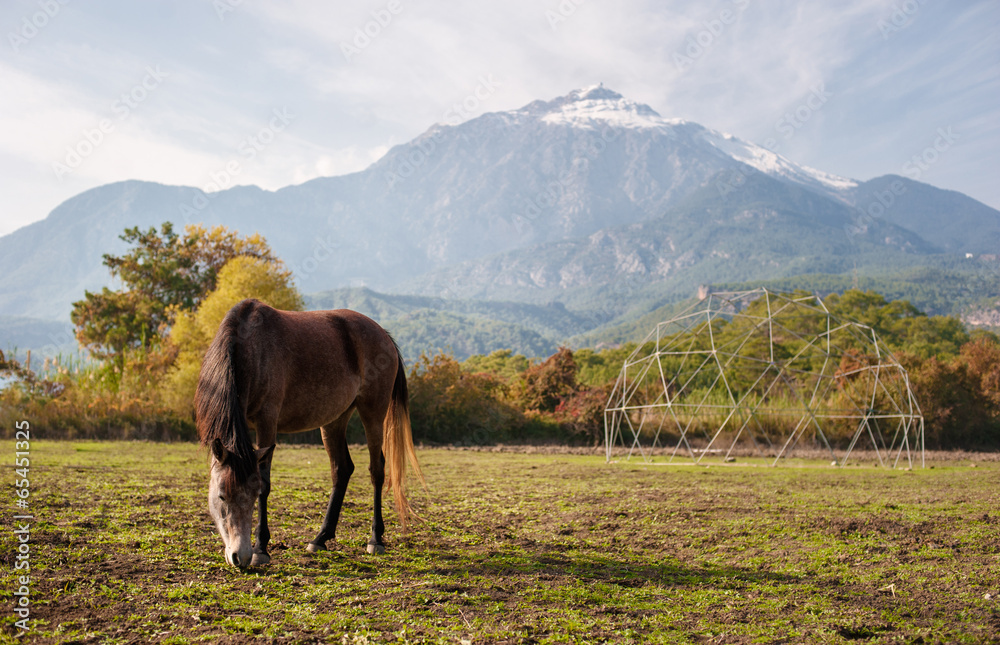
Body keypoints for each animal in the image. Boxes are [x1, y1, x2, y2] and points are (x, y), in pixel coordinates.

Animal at [195, 298, 423, 568]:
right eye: (221, 496)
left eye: (252, 496)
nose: (240, 556)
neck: (248, 348)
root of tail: (383, 334)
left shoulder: (267, 422)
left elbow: (266, 481)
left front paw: (261, 548)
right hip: (334, 420)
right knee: (341, 470)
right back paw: (321, 538)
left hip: (373, 413)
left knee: (376, 470)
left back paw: (375, 539)